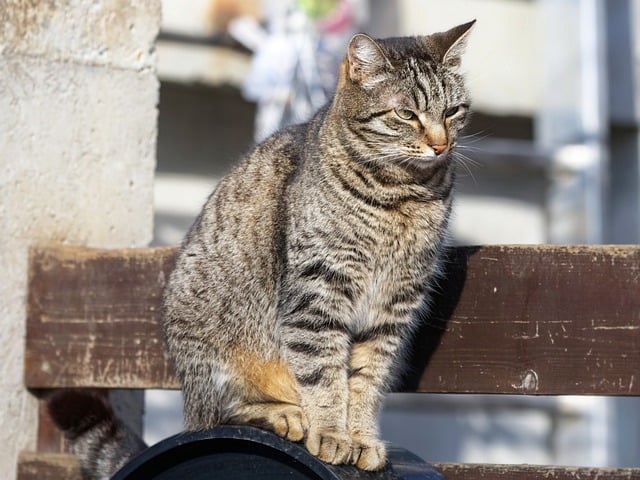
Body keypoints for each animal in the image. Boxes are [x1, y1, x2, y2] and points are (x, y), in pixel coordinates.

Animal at [47, 21, 472, 476]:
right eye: (406, 114)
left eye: (452, 111)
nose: (440, 145)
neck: (402, 193)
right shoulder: (318, 290)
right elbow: (323, 374)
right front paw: (332, 434)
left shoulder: (393, 307)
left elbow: (367, 379)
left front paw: (360, 438)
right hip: (213, 352)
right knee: (222, 414)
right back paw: (286, 414)